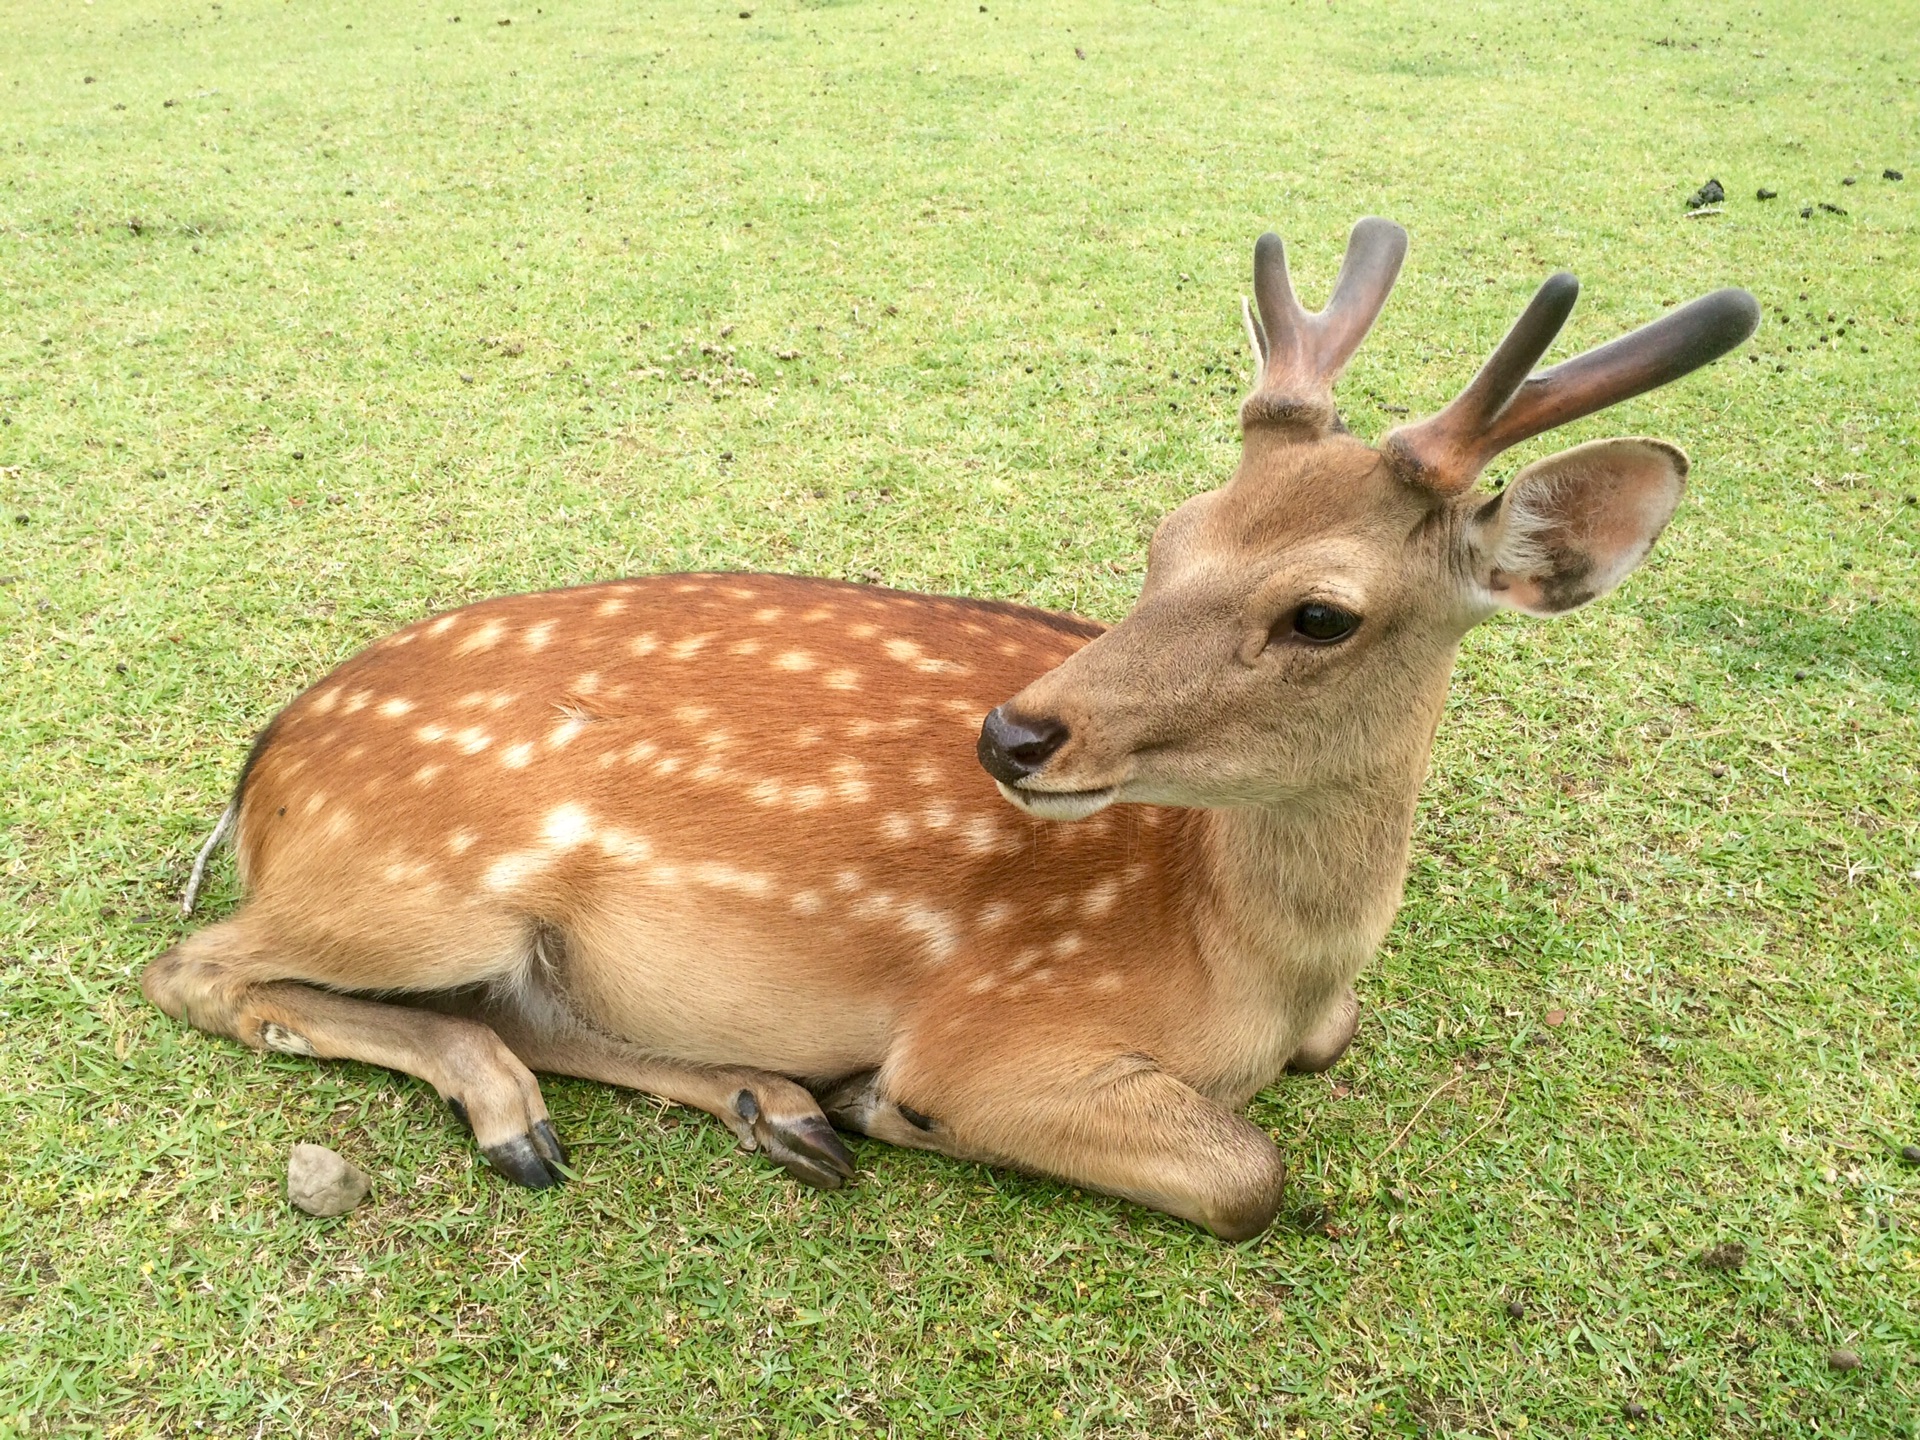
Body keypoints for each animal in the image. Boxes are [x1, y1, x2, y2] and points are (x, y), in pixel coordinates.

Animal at [142, 222, 1758, 1244]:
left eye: (1321, 615)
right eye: (1170, 534)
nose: (1018, 735)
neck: (1248, 967)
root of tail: (263, 770)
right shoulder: (997, 1031)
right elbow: (1251, 1175)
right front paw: (886, 1109)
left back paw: (768, 1107)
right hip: (423, 880)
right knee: (198, 970)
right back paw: (556, 1113)